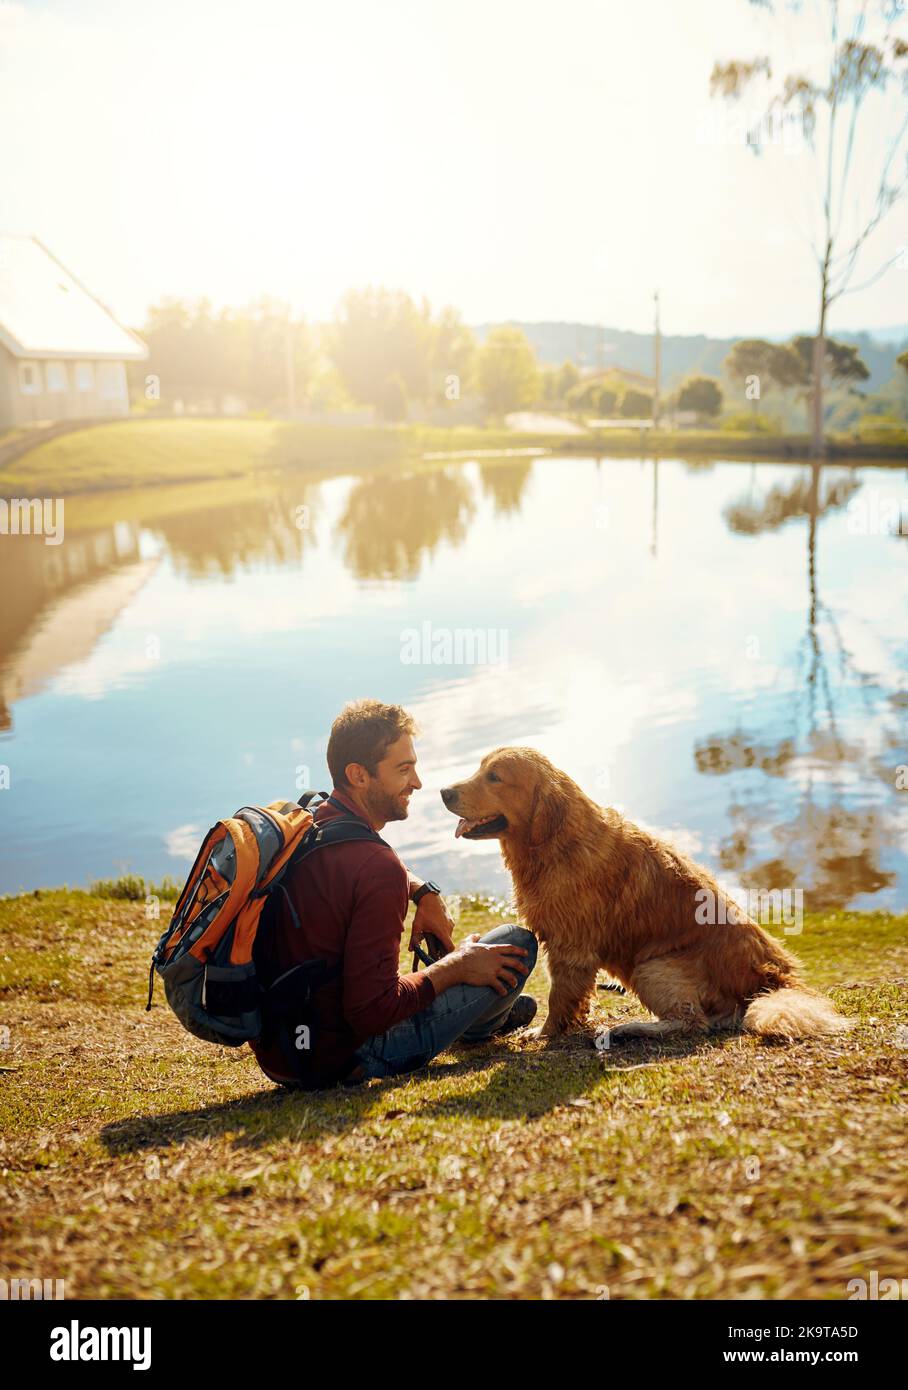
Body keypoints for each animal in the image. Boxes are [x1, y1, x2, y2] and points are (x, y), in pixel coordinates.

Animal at [442, 750, 850, 1045]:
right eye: (480, 768)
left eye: (495, 777)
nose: (445, 791)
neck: (554, 843)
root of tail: (775, 979)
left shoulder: (571, 950)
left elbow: (560, 1000)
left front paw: (544, 1034)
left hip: (652, 966)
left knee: (694, 1022)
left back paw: (631, 1029)